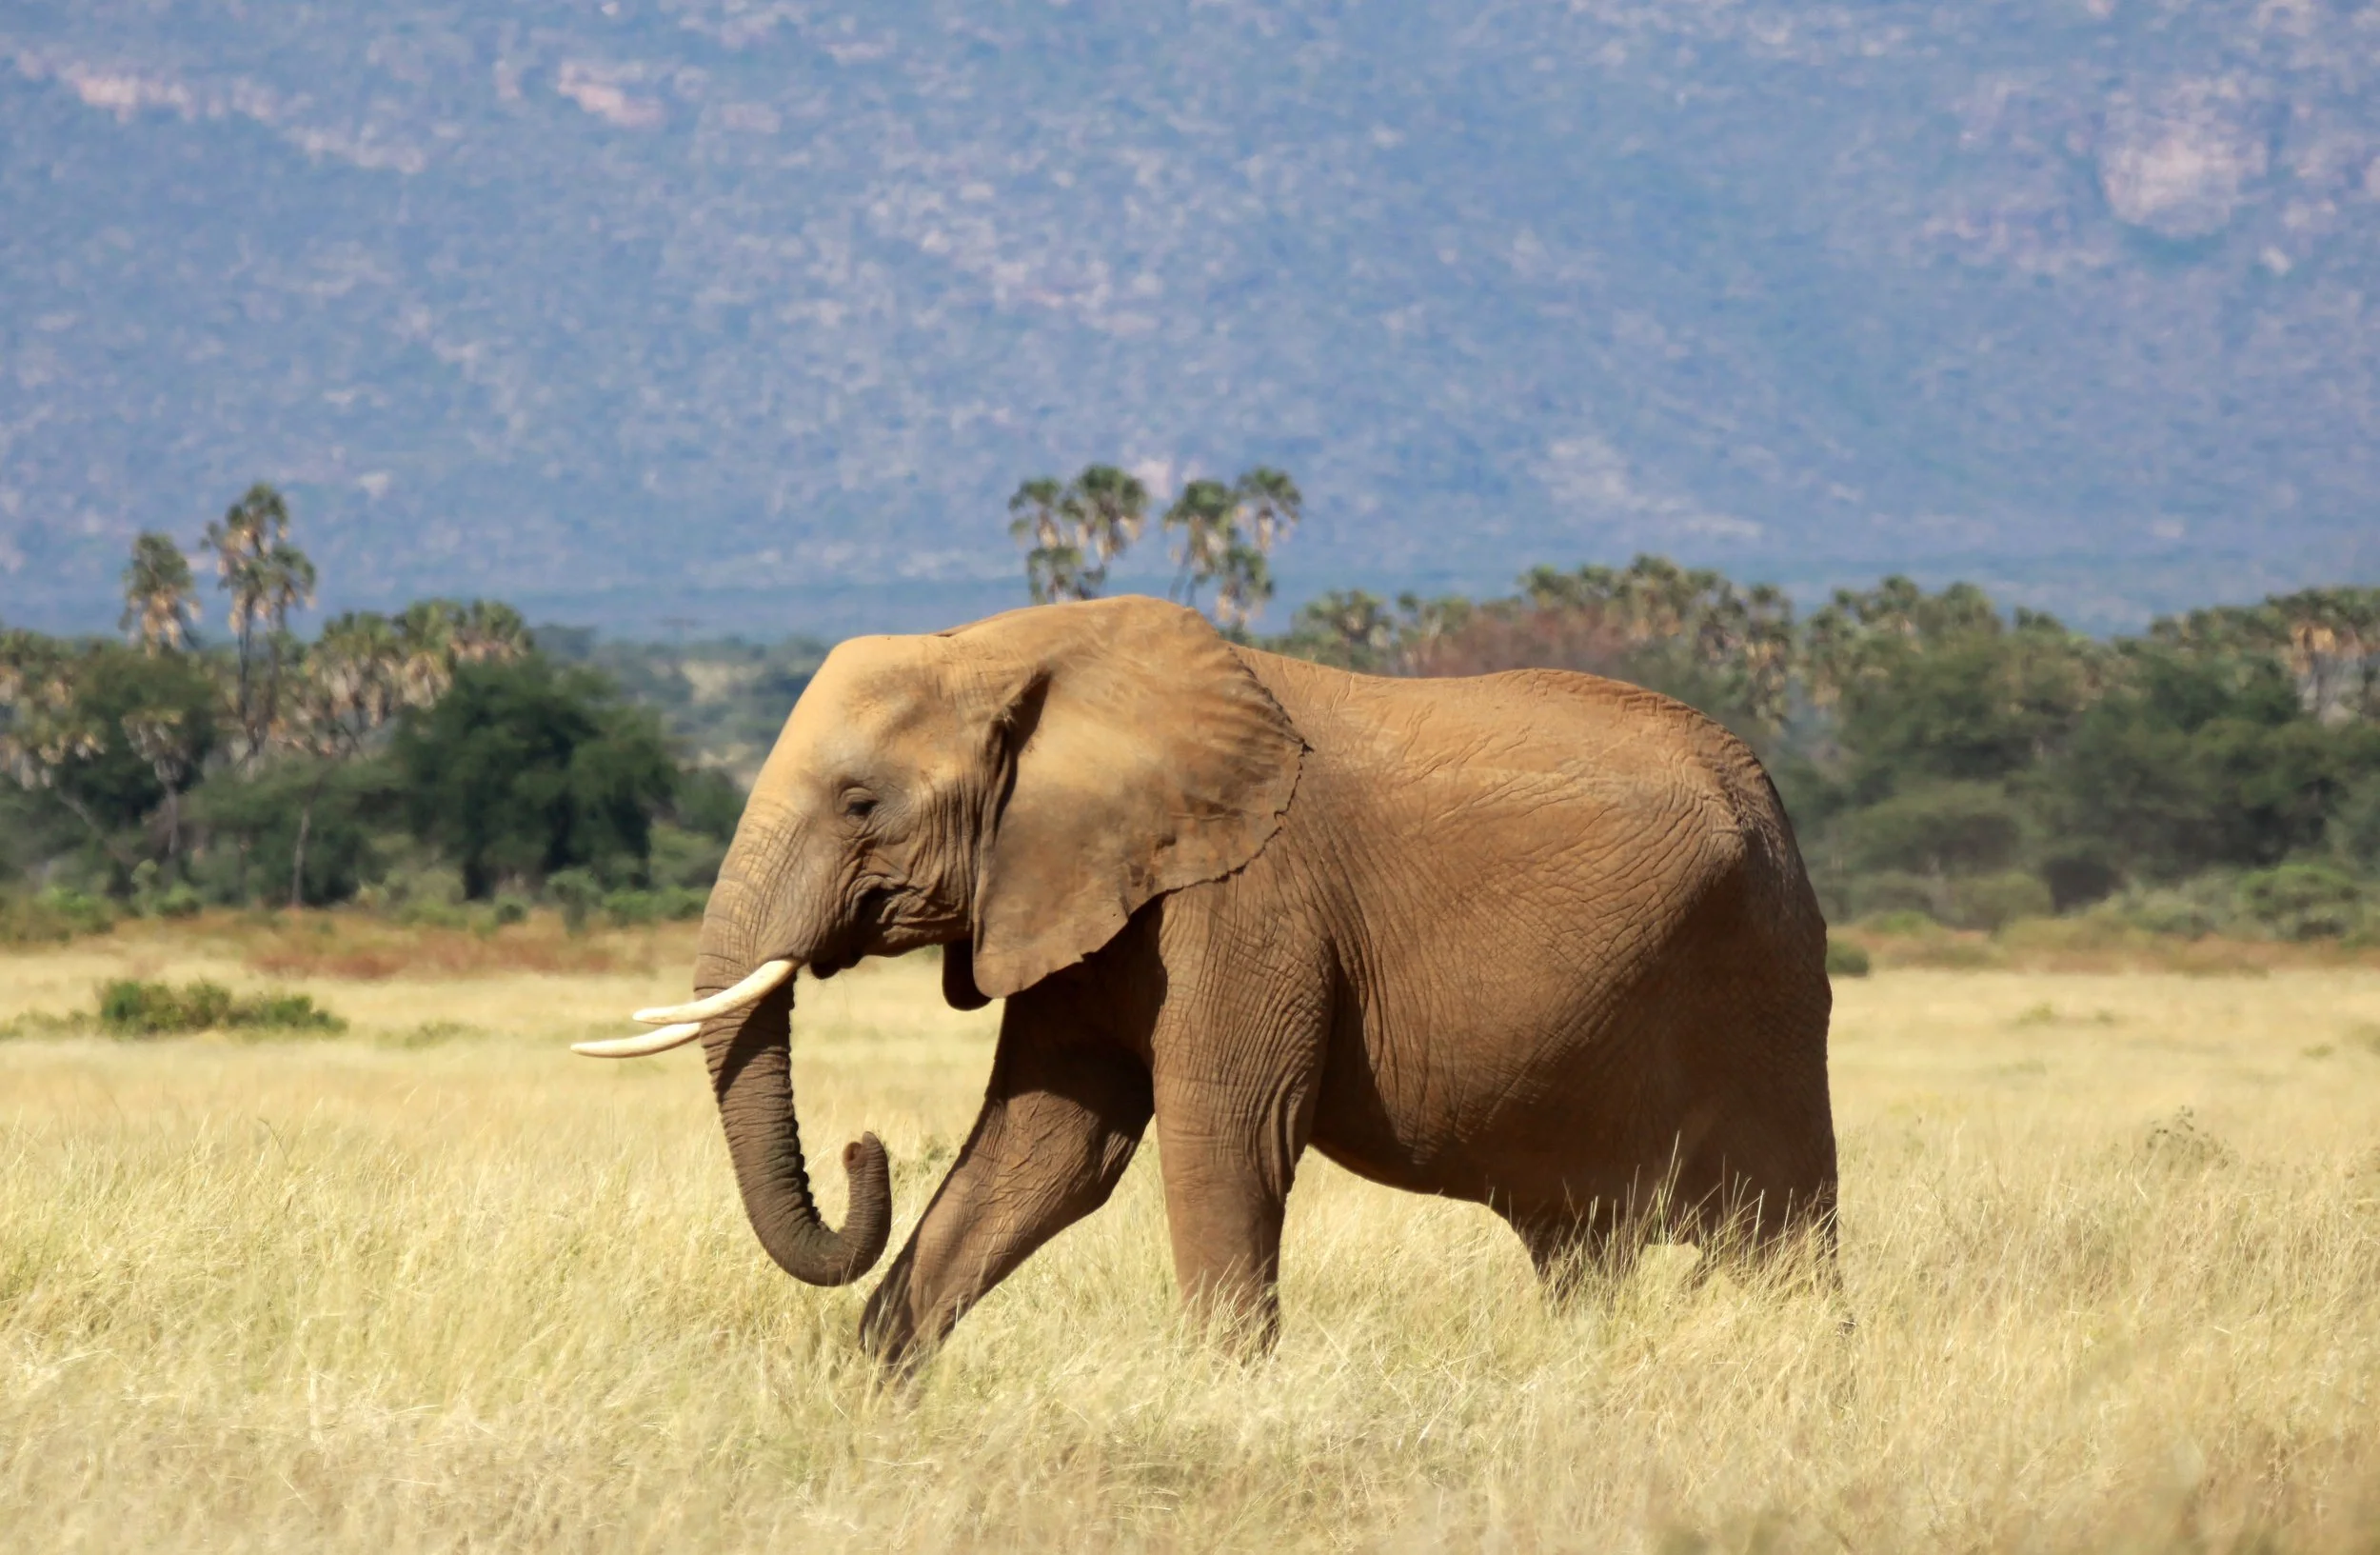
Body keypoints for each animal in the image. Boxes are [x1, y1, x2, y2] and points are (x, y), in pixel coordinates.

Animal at [578, 595, 1837, 1365]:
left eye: (859, 803)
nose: (862, 1148)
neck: (1015, 646)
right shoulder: (1080, 891)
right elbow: (1047, 1149)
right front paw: (878, 1392)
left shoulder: (1248, 904)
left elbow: (1226, 1135)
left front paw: (1231, 1394)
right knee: (1585, 1251)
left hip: (1760, 975)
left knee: (1784, 1237)